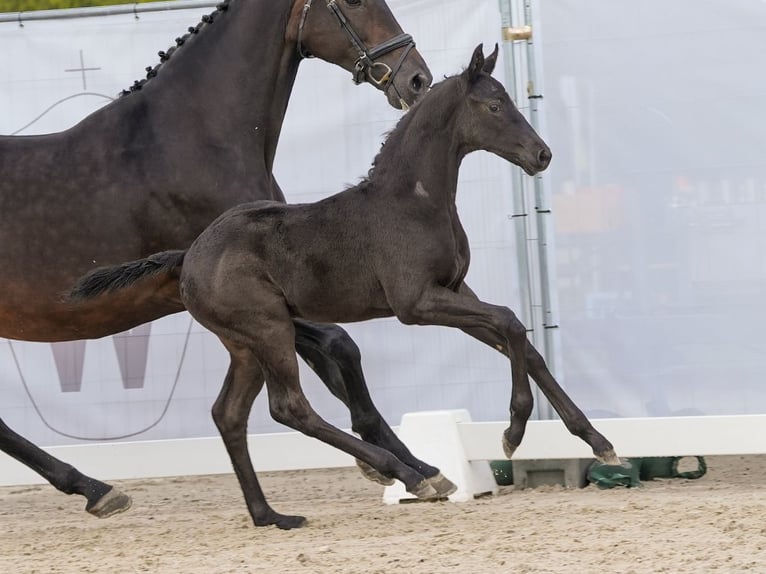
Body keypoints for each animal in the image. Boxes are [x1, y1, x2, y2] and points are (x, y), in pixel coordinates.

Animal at [0, 0, 438, 520]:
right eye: (350, 2)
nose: (417, 78)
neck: (193, 144)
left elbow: (334, 361)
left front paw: (407, 466)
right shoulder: (254, 298)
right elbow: (338, 345)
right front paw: (407, 469)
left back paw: (94, 488)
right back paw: (96, 489)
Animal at [72, 44, 624, 532]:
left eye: (508, 99)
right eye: (493, 106)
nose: (542, 154)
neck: (415, 201)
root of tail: (187, 256)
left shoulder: (456, 291)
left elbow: (522, 342)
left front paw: (598, 443)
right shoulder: (416, 303)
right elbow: (510, 320)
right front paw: (513, 431)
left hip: (244, 346)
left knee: (228, 414)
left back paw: (272, 516)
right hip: (270, 330)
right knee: (290, 407)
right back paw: (410, 476)